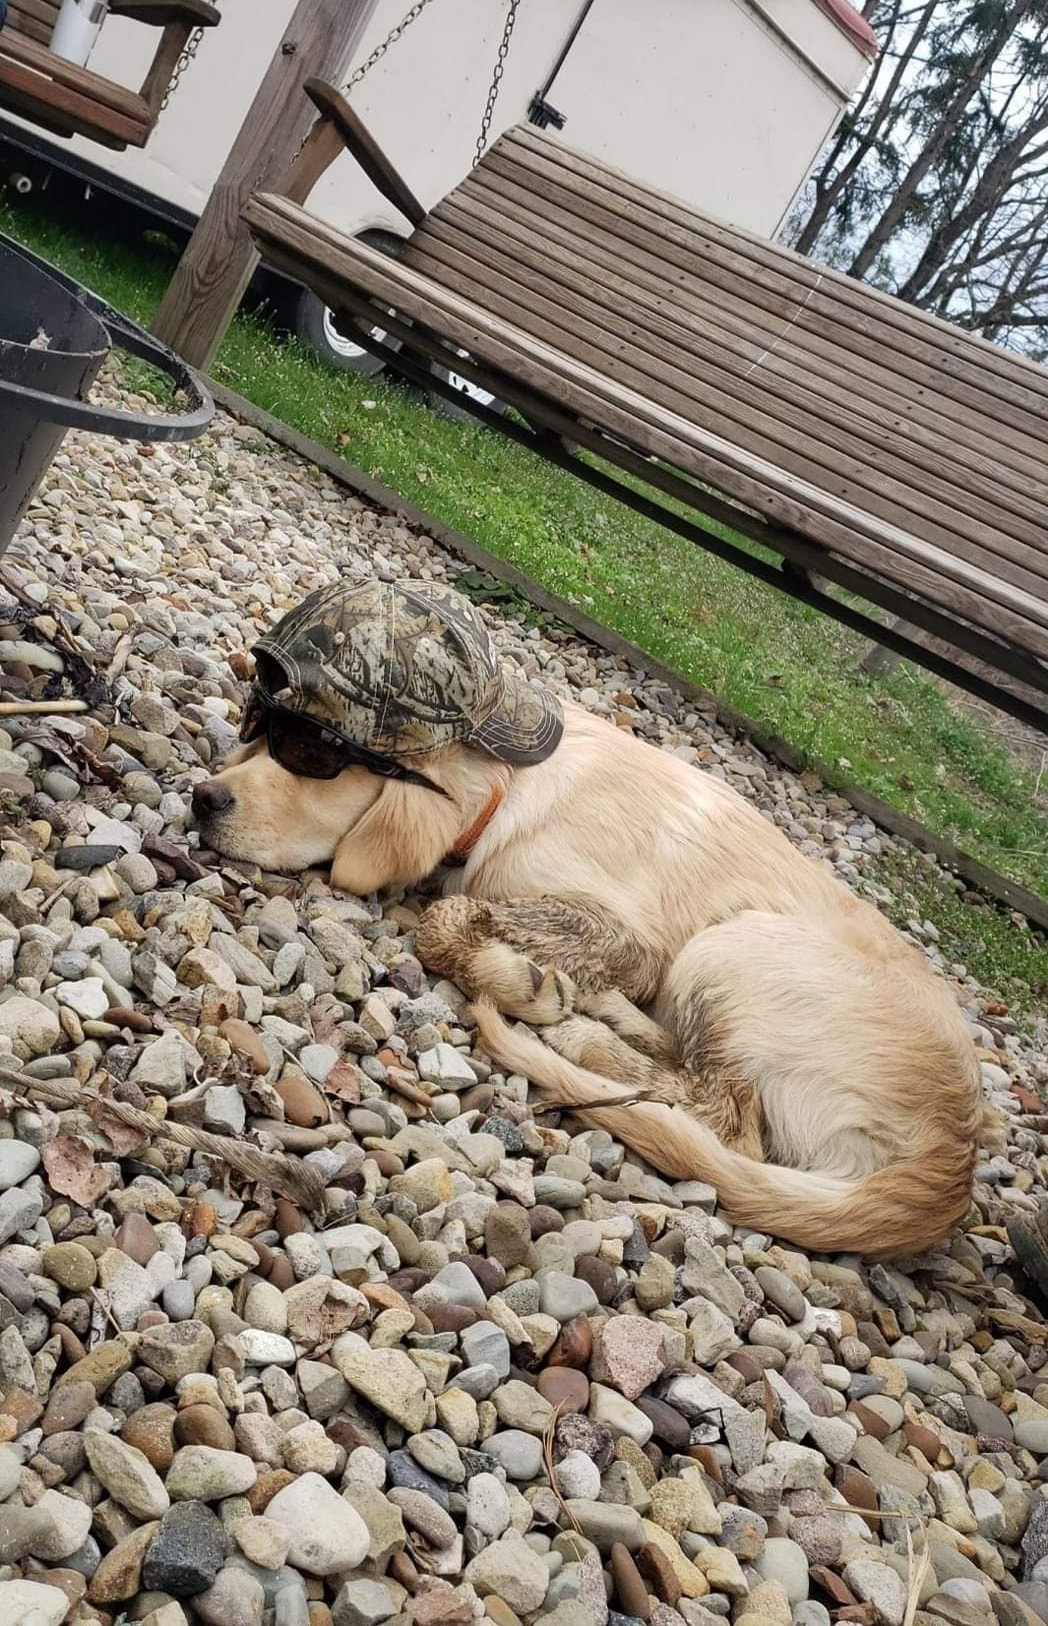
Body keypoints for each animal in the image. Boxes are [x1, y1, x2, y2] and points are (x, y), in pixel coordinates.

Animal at [193, 693, 992, 1259]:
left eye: (313, 762)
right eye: (260, 733)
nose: (205, 798)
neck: (508, 789)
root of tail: (952, 1164)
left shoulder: (634, 938)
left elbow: (448, 916)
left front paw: (512, 973)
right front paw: (546, 980)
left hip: (731, 947)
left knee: (725, 1119)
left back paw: (577, 1034)